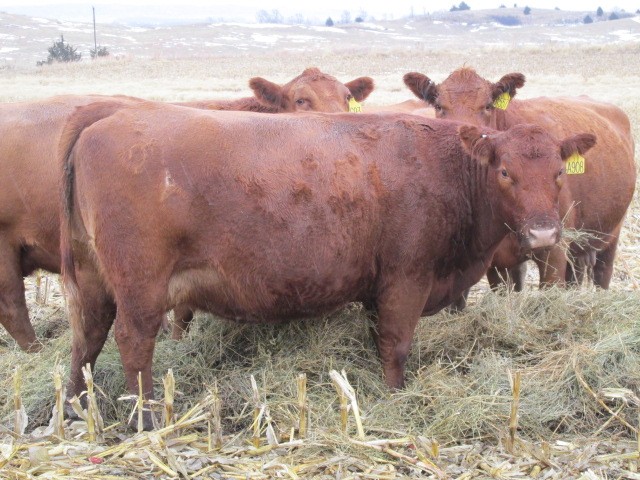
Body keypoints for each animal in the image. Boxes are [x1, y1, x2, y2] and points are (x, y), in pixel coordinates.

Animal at [0, 67, 376, 350]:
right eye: (301, 99)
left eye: (347, 98)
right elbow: (183, 309)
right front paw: (179, 341)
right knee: (14, 307)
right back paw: (36, 351)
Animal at [60, 100, 596, 428]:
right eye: (505, 172)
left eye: (557, 173)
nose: (544, 233)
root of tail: (107, 116)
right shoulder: (407, 277)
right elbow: (397, 345)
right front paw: (396, 397)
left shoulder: (379, 288)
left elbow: (379, 340)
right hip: (140, 288)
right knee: (133, 344)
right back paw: (147, 418)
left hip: (92, 281)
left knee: (86, 339)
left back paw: (73, 409)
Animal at [404, 67, 636, 292]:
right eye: (438, 106)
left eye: (488, 105)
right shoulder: (496, 261)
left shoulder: (554, 251)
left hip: (611, 235)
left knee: (602, 275)